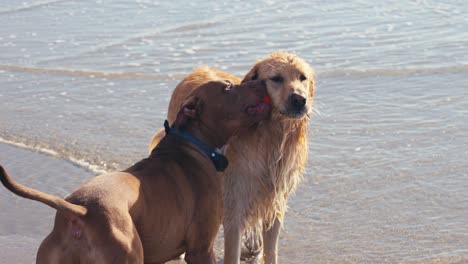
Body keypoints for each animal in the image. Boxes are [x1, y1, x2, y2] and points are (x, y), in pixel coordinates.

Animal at [149, 52, 314, 264]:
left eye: (302, 77)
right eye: (276, 78)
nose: (300, 99)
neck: (271, 137)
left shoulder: (275, 202)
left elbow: (271, 251)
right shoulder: (233, 208)